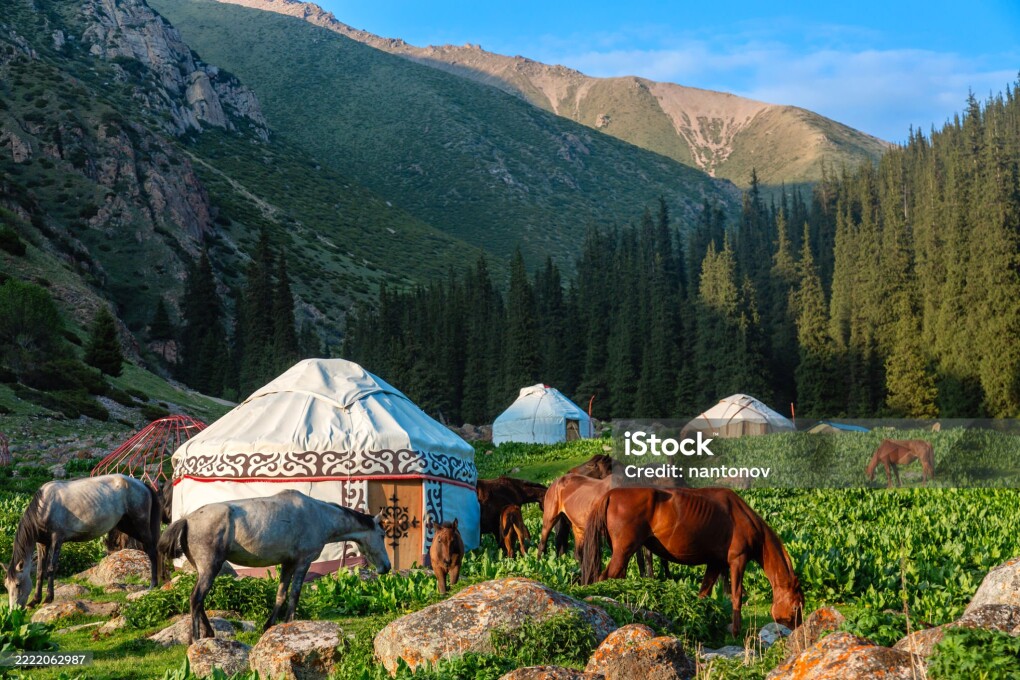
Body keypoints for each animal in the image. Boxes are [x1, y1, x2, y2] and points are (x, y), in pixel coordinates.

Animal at [3, 474, 161, 609]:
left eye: (18, 584)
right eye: (6, 586)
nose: (13, 611)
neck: (44, 507)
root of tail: (142, 484)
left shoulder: (57, 540)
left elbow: (51, 568)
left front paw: (48, 599)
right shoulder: (42, 544)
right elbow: (40, 571)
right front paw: (35, 601)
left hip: (140, 525)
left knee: (152, 550)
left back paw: (153, 584)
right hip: (126, 526)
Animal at [158, 489, 390, 641]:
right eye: (382, 534)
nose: (386, 567)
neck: (319, 516)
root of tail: (187, 519)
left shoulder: (287, 564)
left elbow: (281, 595)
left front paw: (269, 625)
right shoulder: (303, 562)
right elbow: (294, 595)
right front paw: (291, 623)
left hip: (204, 570)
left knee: (199, 601)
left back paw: (210, 633)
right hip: (210, 568)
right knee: (196, 598)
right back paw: (196, 639)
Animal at [579, 486, 804, 636]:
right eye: (796, 606)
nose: (799, 631)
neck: (743, 517)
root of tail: (610, 495)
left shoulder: (715, 564)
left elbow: (703, 594)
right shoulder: (737, 562)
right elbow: (736, 596)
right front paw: (736, 631)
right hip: (624, 551)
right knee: (605, 577)